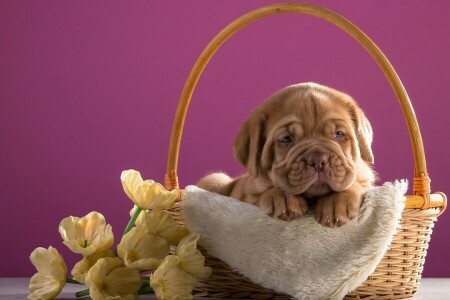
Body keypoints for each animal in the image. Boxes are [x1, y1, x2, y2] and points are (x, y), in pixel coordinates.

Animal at [197, 82, 376, 227]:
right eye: (286, 139)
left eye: (339, 134)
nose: (317, 160)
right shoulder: (247, 194)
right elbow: (268, 188)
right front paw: (283, 198)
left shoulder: (365, 178)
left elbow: (354, 183)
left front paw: (336, 201)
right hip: (215, 179)